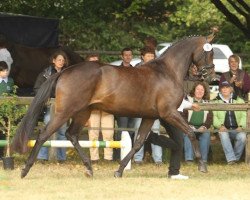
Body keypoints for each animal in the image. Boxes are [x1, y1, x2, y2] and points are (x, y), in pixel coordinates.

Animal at [11, 34, 215, 178]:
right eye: (210, 52)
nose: (211, 76)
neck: (168, 72)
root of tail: (64, 71)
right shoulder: (169, 113)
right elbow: (190, 132)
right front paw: (202, 165)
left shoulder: (151, 116)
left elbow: (138, 142)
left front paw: (119, 170)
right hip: (65, 111)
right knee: (44, 134)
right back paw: (25, 170)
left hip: (82, 112)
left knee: (71, 135)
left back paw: (89, 168)